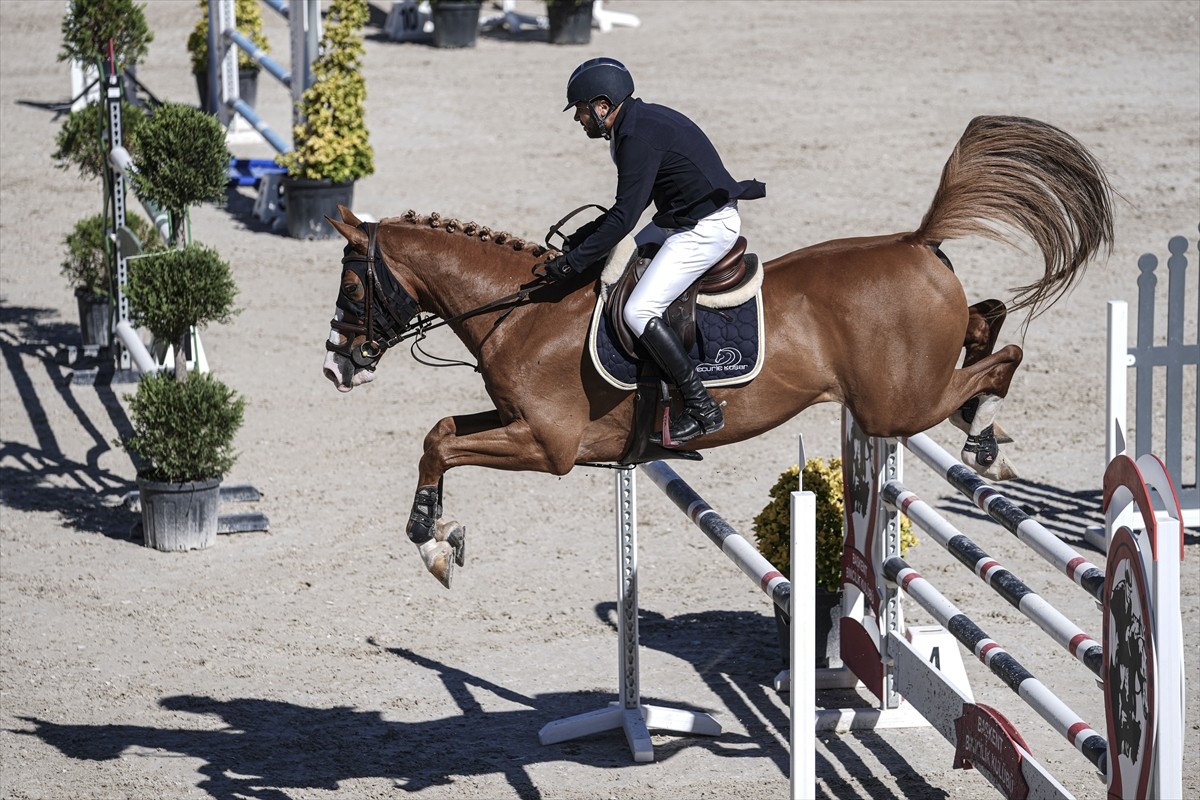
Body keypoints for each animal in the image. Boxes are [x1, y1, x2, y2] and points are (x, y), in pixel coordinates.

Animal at [324, 113, 1108, 587]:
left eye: (352, 283)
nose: (336, 365)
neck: (522, 313)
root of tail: (915, 242)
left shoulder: (549, 445)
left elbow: (447, 445)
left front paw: (429, 539)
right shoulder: (520, 424)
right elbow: (439, 434)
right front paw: (437, 536)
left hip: (896, 405)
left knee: (997, 359)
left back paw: (984, 439)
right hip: (907, 385)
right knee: (987, 318)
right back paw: (984, 423)